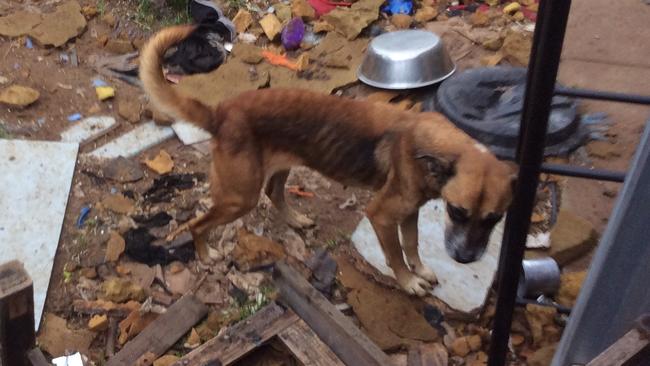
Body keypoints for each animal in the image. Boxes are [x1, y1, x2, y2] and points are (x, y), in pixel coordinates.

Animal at [139, 25, 512, 296]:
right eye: (458, 212)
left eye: (495, 219)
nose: (465, 259)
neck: (432, 147)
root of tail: (220, 113)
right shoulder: (382, 215)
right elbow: (395, 254)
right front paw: (408, 281)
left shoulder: (410, 210)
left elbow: (413, 243)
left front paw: (420, 269)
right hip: (238, 197)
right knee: (198, 224)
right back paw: (206, 255)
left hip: (279, 166)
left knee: (273, 193)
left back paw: (296, 219)